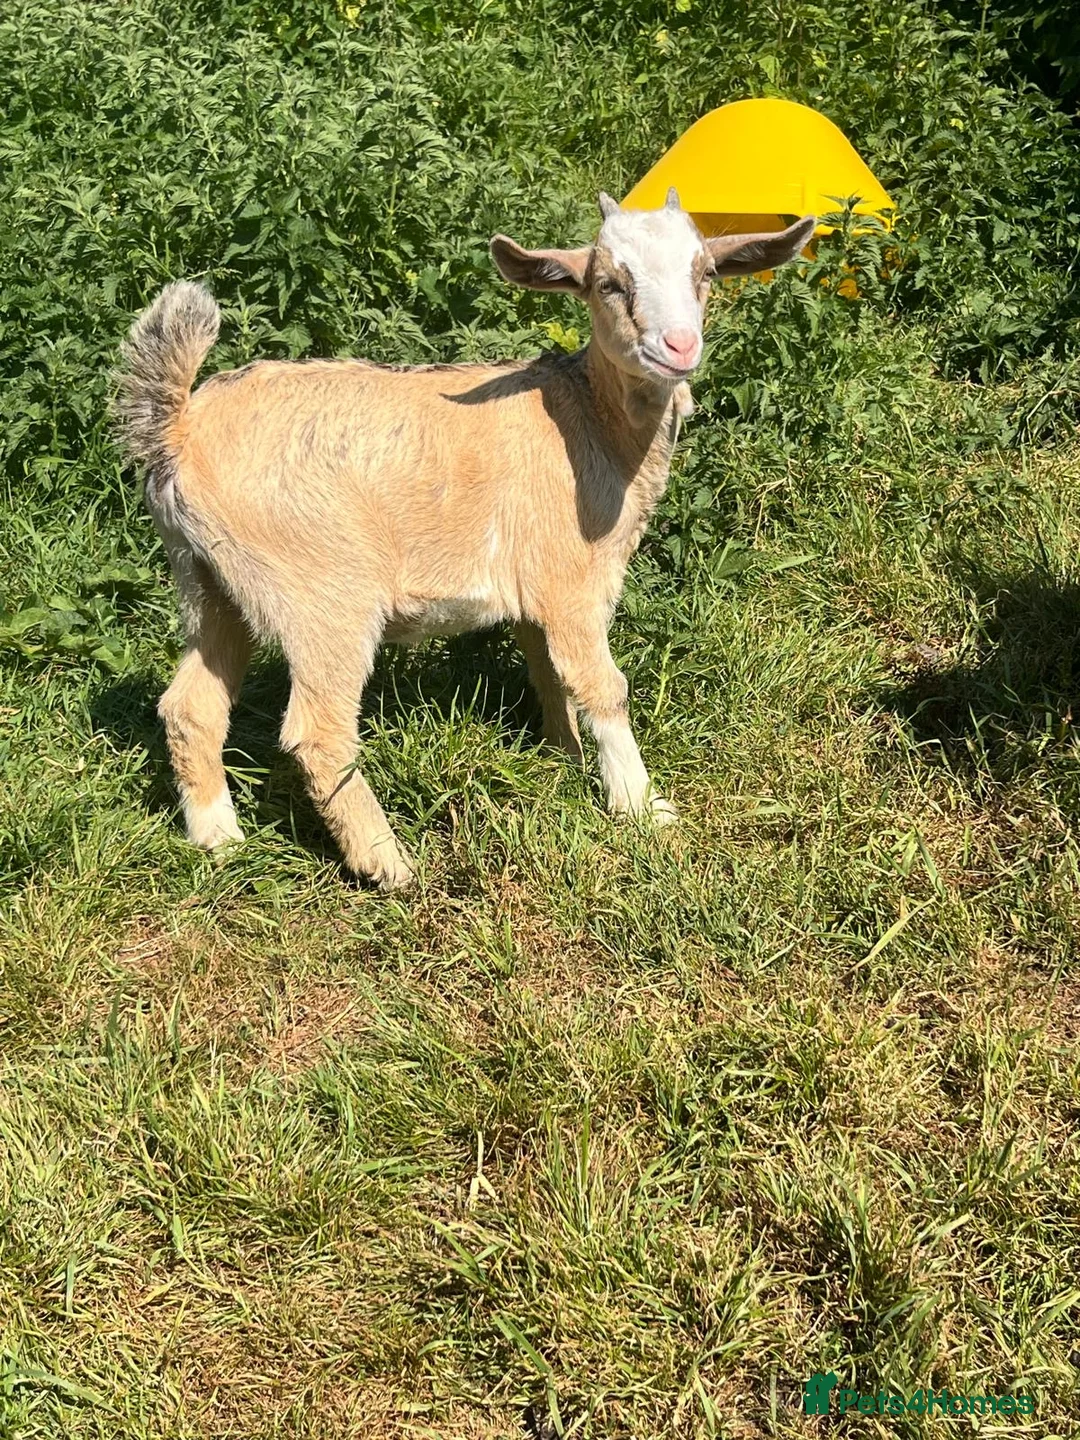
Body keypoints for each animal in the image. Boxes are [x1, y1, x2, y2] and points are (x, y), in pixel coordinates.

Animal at [115, 190, 813, 888]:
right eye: (609, 283)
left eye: (705, 273)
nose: (679, 345)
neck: (593, 419)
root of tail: (178, 430)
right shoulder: (571, 580)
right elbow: (601, 685)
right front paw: (642, 808)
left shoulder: (534, 590)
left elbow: (548, 673)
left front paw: (563, 756)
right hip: (323, 591)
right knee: (318, 732)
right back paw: (387, 863)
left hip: (207, 580)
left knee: (190, 706)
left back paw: (218, 838)